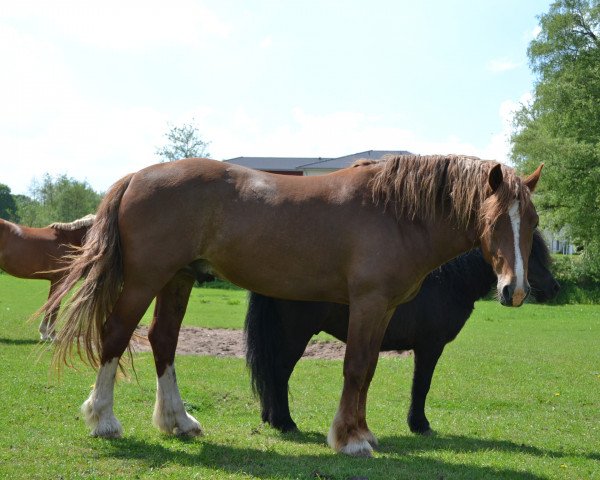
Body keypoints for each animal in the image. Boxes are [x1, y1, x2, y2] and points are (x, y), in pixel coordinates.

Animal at [0, 214, 94, 342]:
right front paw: (52, 335)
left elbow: (50, 303)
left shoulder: (54, 281)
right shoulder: (60, 280)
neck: (68, 239)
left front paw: (44, 333)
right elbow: (55, 305)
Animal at [243, 229, 556, 436]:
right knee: (279, 372)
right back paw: (284, 422)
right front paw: (420, 425)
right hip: (296, 335)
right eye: (529, 252)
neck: (448, 282)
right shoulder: (430, 347)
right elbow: (422, 385)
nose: (554, 287)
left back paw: (271, 418)